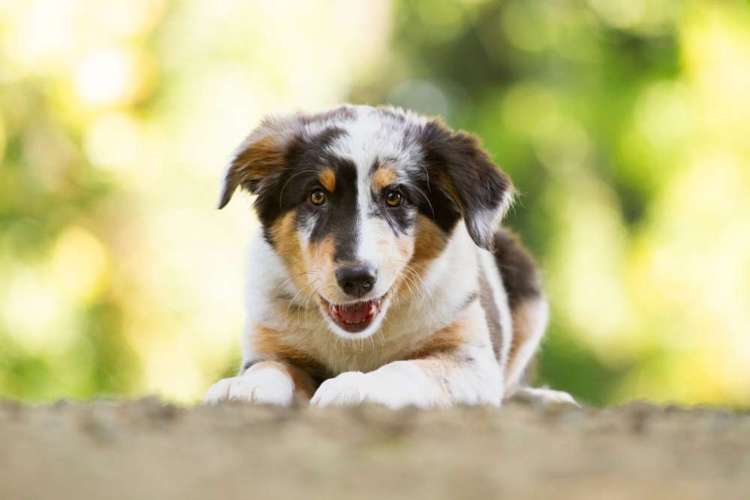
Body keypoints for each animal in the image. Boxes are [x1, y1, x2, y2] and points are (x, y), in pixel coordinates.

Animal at [204, 103, 576, 408]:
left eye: (395, 197)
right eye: (316, 196)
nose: (356, 279)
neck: (358, 341)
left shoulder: (469, 358)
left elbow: (408, 368)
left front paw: (355, 386)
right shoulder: (270, 344)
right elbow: (270, 366)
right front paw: (242, 387)